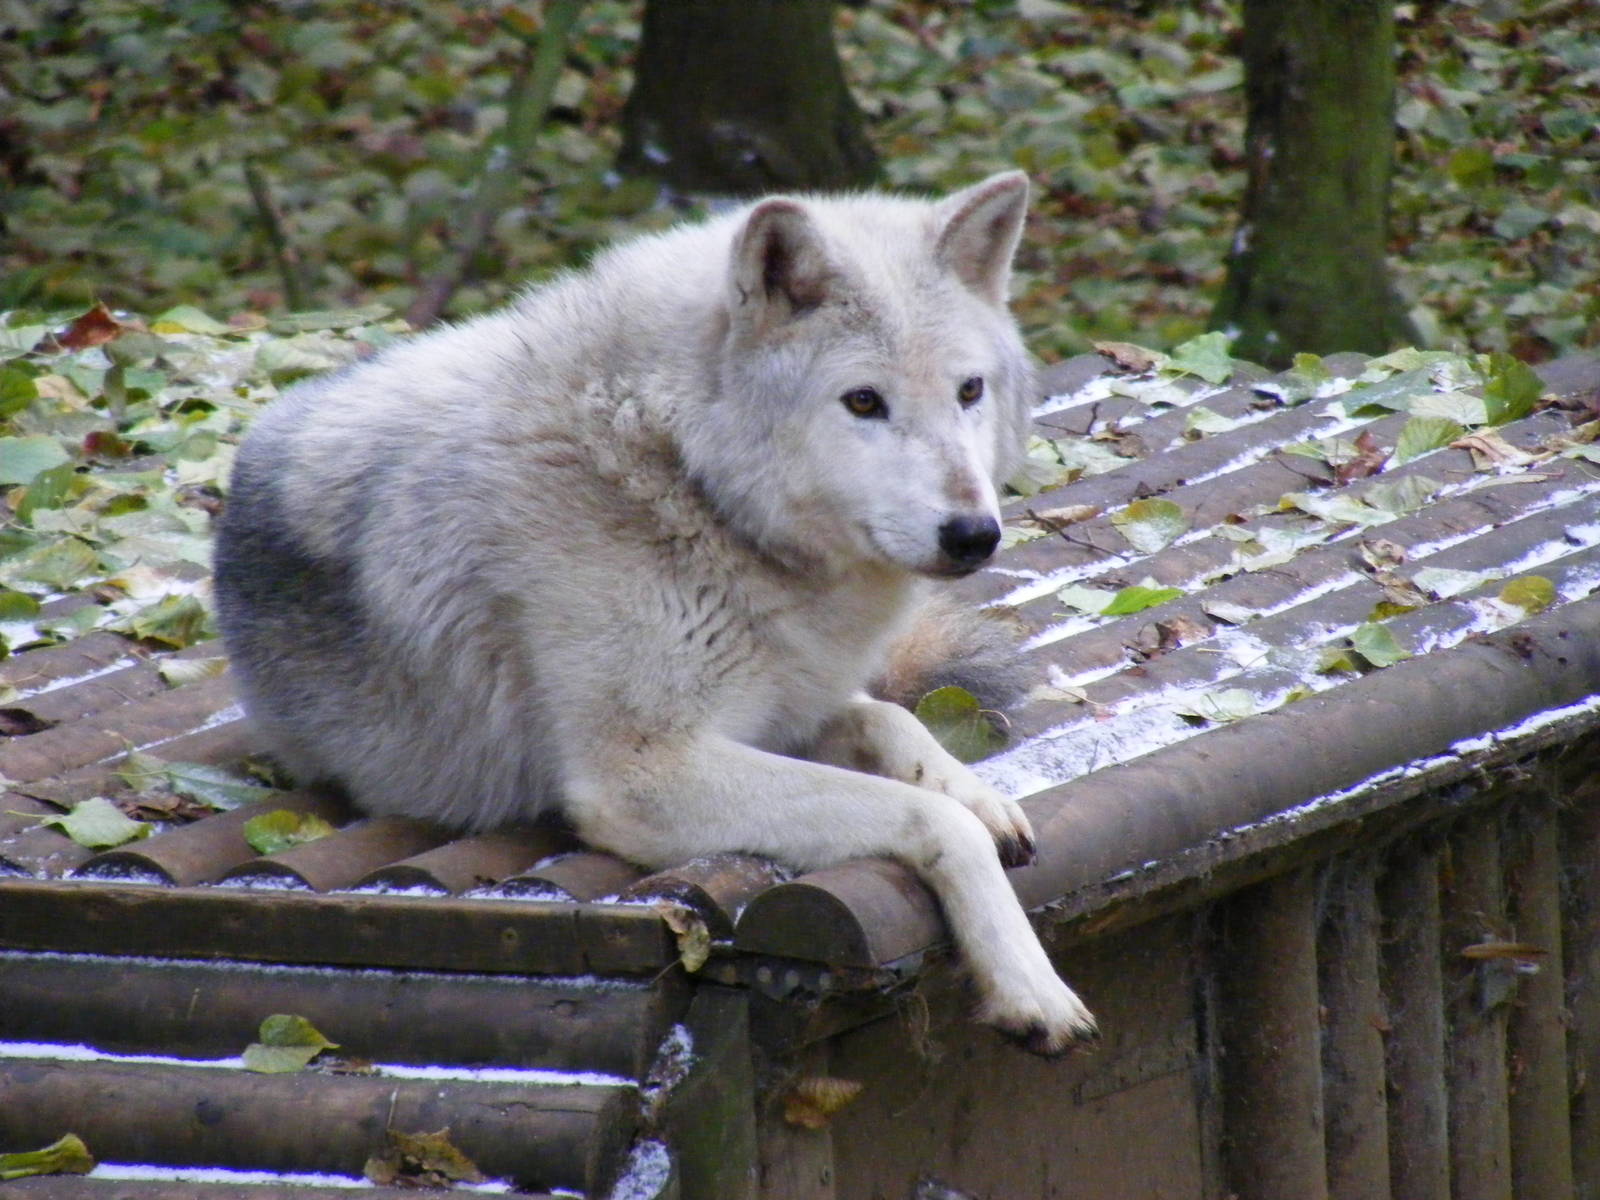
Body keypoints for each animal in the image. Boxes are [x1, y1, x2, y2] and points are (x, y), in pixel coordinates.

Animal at [214, 171, 1096, 1052]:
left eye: (969, 391)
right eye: (863, 401)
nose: (974, 534)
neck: (677, 472)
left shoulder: (783, 709)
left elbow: (893, 721)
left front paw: (982, 795)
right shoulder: (644, 773)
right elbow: (936, 822)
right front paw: (1031, 986)